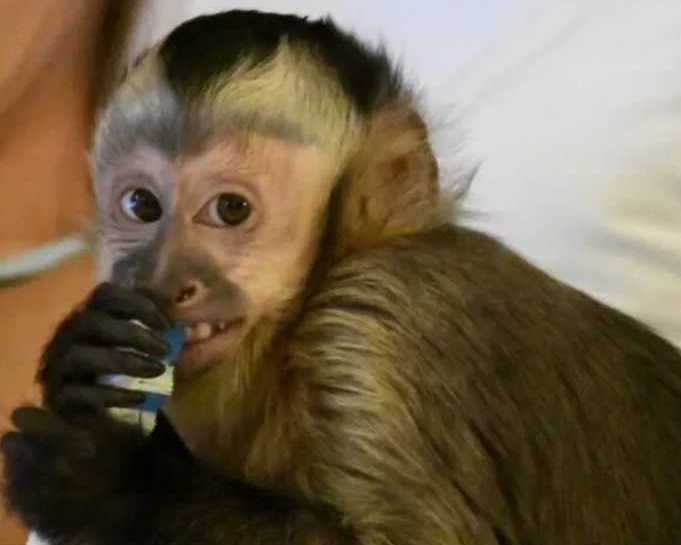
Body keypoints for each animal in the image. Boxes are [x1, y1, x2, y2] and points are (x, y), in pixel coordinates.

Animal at [3, 9, 681, 545]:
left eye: (230, 210)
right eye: (141, 206)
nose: (164, 279)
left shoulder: (379, 316)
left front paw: (114, 483)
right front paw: (80, 359)